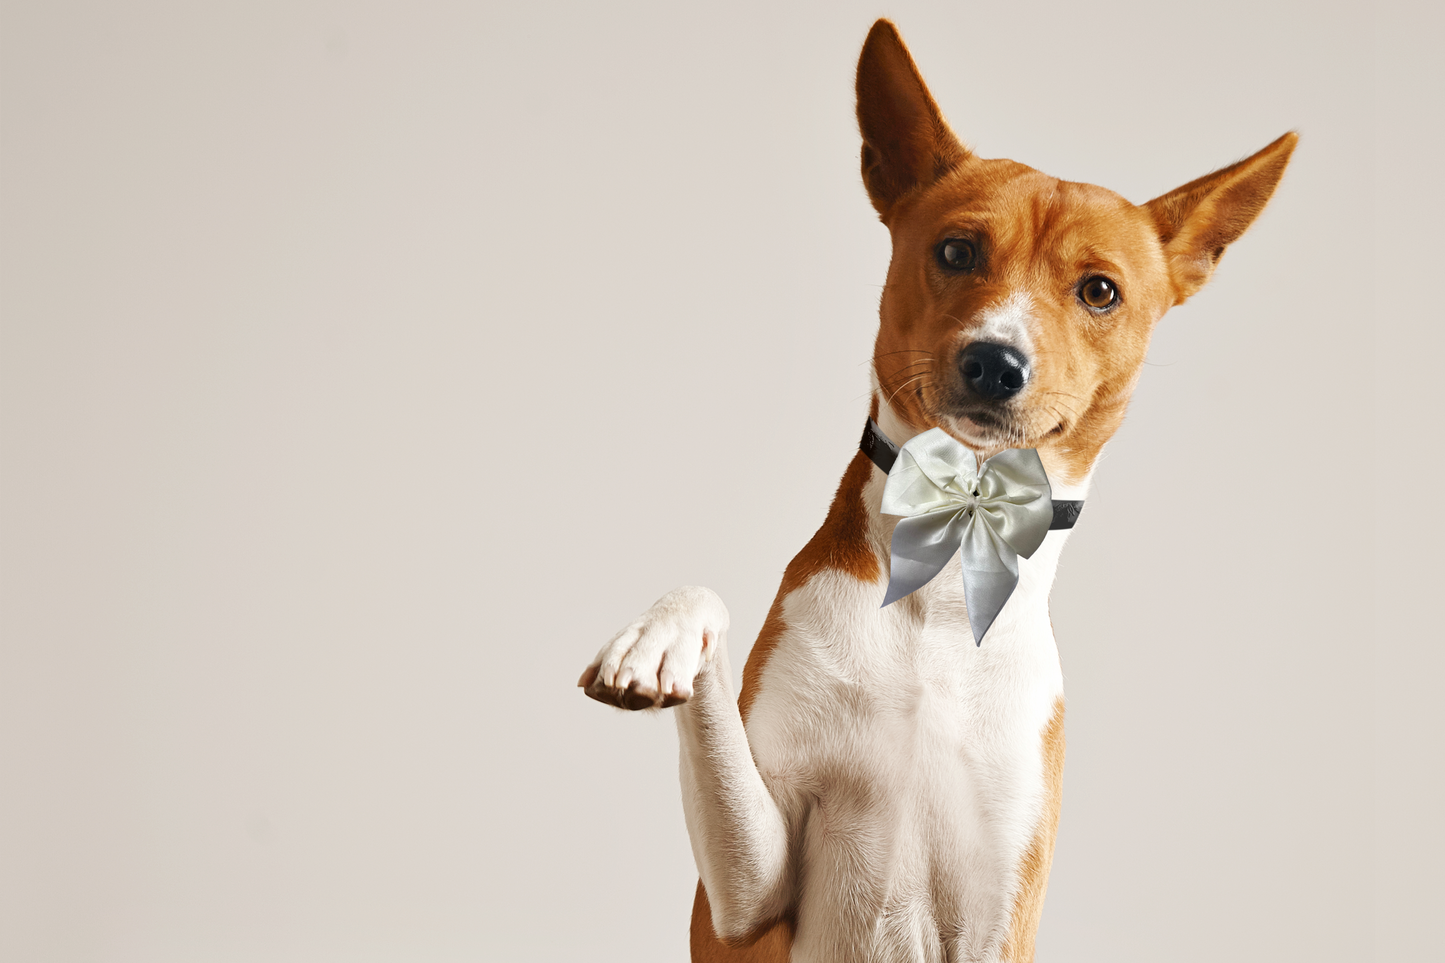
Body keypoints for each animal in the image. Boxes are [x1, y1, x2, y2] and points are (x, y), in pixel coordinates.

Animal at [575, 16, 1300, 960]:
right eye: (957, 250)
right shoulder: (744, 903)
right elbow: (705, 610)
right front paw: (656, 639)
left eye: (1099, 291)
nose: (995, 361)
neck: (952, 574)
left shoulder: (1001, 911)